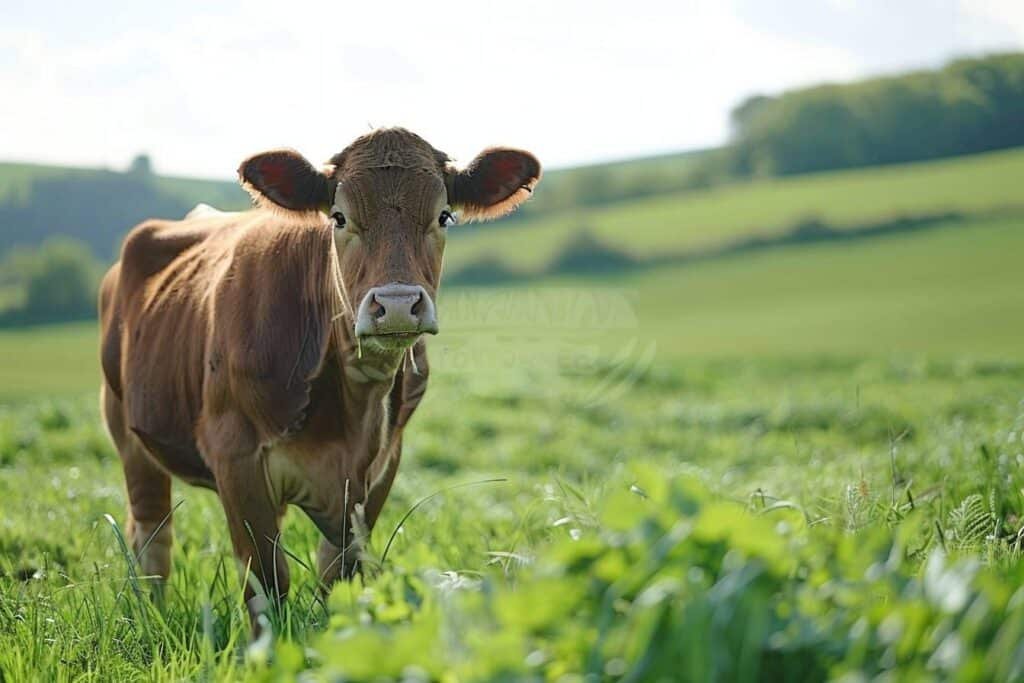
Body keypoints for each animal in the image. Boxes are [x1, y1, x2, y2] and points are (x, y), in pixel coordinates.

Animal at [98, 127, 540, 630]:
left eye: (444, 215)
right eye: (339, 217)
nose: (397, 305)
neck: (353, 408)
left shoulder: (379, 468)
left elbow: (338, 572)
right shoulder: (235, 455)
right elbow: (266, 578)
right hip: (128, 433)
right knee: (152, 540)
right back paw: (150, 615)